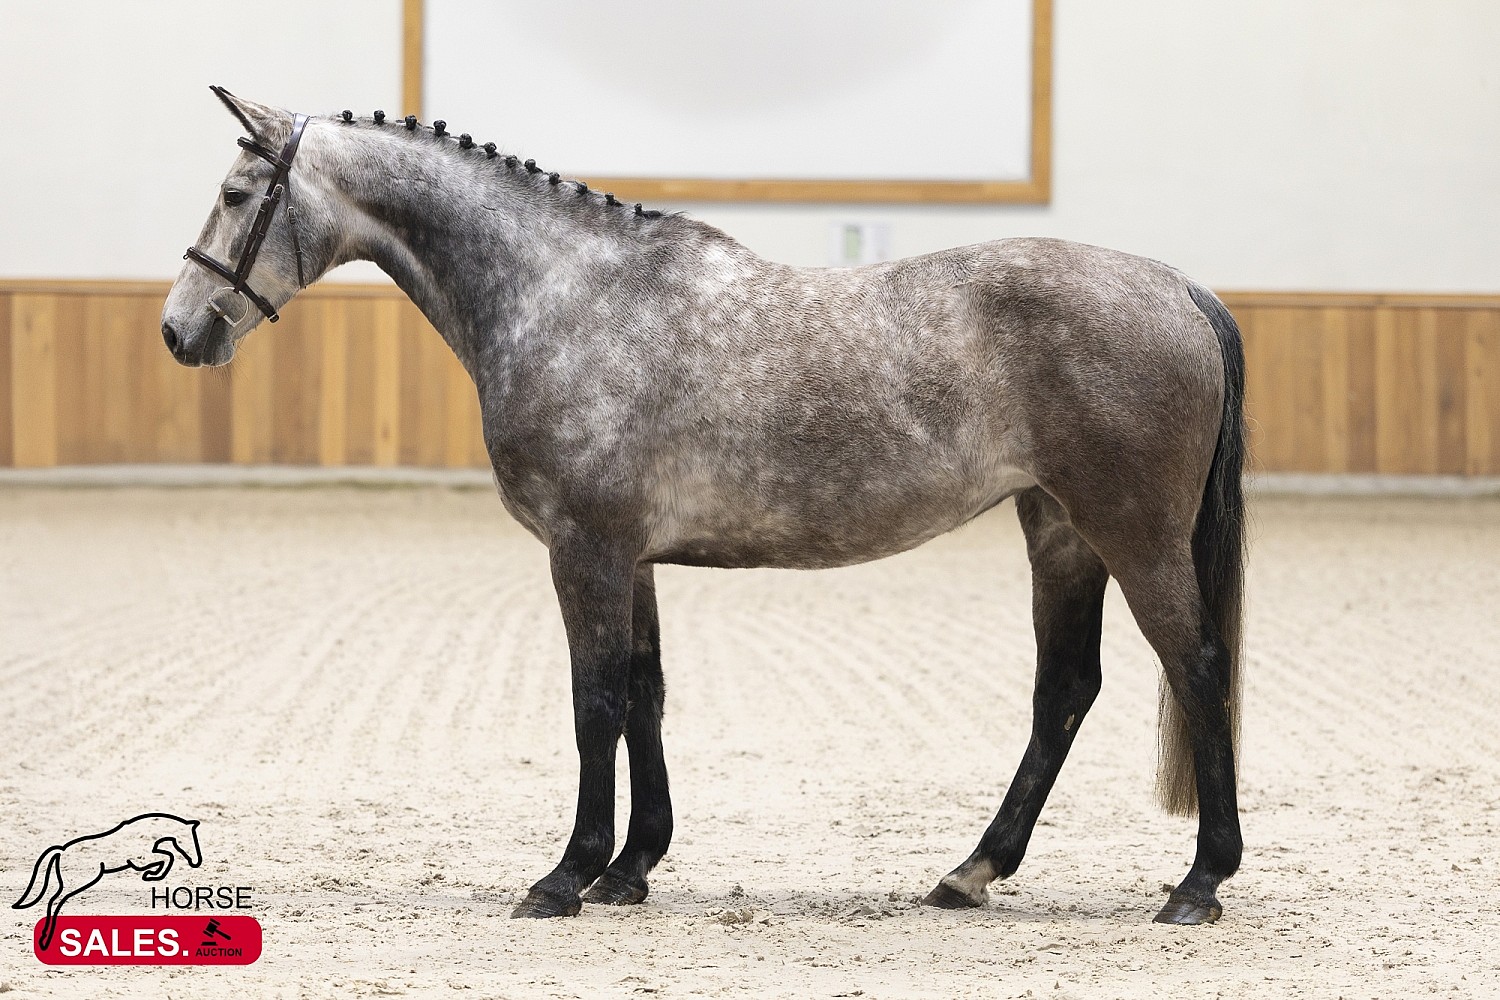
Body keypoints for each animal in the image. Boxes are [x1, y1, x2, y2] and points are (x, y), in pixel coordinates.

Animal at [13, 813, 204, 950]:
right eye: (191, 839)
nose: (196, 861)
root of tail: (61, 850)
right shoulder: (139, 860)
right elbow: (167, 857)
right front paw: (152, 874)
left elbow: (166, 856)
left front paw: (152, 874)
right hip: (76, 883)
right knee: (55, 900)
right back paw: (46, 938)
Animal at [161, 88, 1247, 925]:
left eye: (236, 194)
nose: (178, 331)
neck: (569, 299)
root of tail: (1175, 286)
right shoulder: (631, 557)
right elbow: (645, 693)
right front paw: (630, 869)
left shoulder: (585, 551)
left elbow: (594, 701)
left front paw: (564, 876)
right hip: (1060, 532)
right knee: (1063, 689)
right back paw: (971, 871)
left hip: (1132, 535)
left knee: (1196, 668)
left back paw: (1198, 883)